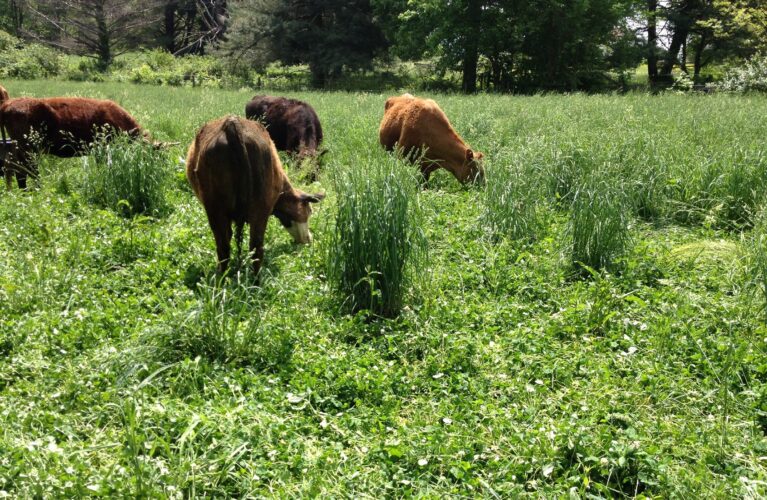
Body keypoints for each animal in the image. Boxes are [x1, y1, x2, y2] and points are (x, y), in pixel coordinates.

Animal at [185, 115, 324, 276]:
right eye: (309, 211)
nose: (309, 238)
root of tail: (232, 124)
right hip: (254, 209)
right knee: (253, 248)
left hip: (217, 210)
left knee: (227, 248)